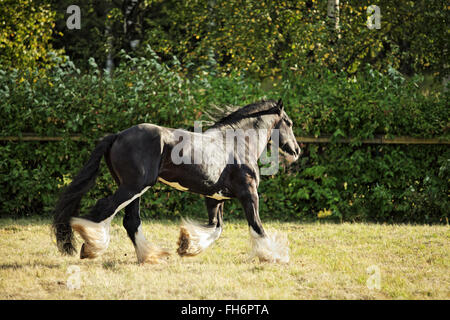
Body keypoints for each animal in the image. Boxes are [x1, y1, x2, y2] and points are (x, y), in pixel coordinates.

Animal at [52, 99, 300, 264]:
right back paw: (92, 247)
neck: (236, 145)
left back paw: (150, 256)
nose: (296, 151)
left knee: (131, 221)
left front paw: (186, 245)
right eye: (288, 122)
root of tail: (117, 136)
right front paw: (273, 255)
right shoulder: (248, 193)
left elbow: (216, 228)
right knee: (105, 207)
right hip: (134, 186)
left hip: (135, 189)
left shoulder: (214, 198)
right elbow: (256, 226)